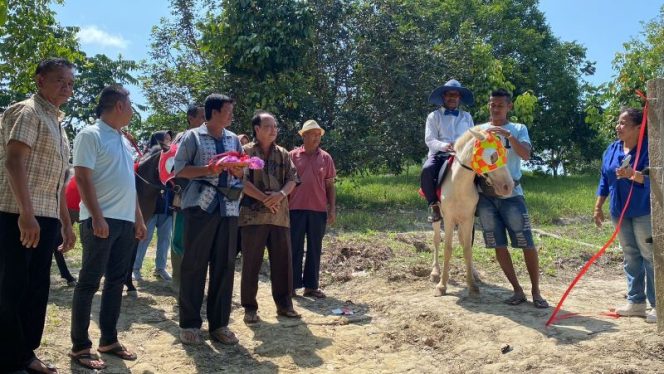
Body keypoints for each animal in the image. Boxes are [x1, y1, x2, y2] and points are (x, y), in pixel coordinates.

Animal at [430, 127, 512, 296]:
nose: (508, 186)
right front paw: (442, 286)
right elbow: (447, 248)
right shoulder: (448, 218)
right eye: (493, 156)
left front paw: (472, 284)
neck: (459, 184)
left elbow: (467, 247)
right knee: (436, 239)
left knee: (462, 241)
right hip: (437, 216)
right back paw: (435, 272)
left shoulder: (468, 218)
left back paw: (474, 274)